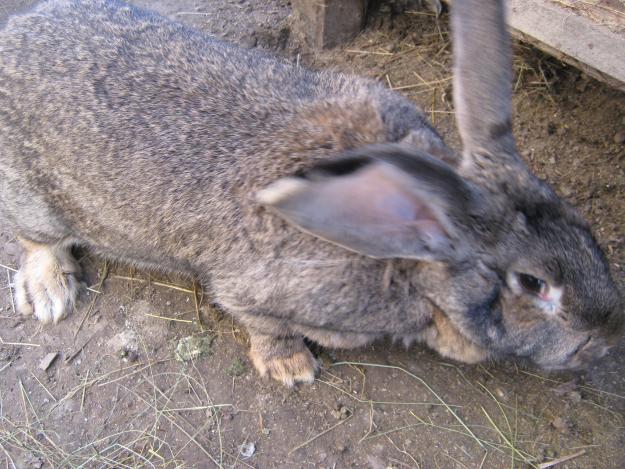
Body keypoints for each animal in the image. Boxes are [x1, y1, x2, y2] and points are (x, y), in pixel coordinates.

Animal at [2, 0, 620, 384]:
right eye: (534, 285)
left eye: (587, 232)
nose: (609, 340)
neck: (408, 263)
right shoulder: (254, 293)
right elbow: (264, 325)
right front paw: (291, 367)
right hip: (37, 203)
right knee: (36, 241)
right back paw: (49, 293)